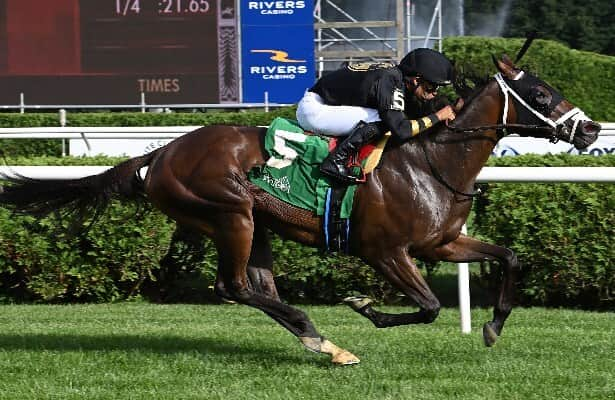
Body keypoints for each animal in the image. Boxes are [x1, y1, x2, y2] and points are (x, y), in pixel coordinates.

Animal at [0, 54, 600, 364]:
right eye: (540, 96)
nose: (592, 129)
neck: (430, 161)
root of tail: (162, 151)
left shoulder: (442, 242)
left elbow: (510, 257)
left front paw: (494, 326)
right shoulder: (385, 251)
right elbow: (429, 306)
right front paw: (365, 307)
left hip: (255, 223)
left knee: (257, 287)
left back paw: (320, 341)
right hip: (230, 213)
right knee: (233, 287)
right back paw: (320, 335)